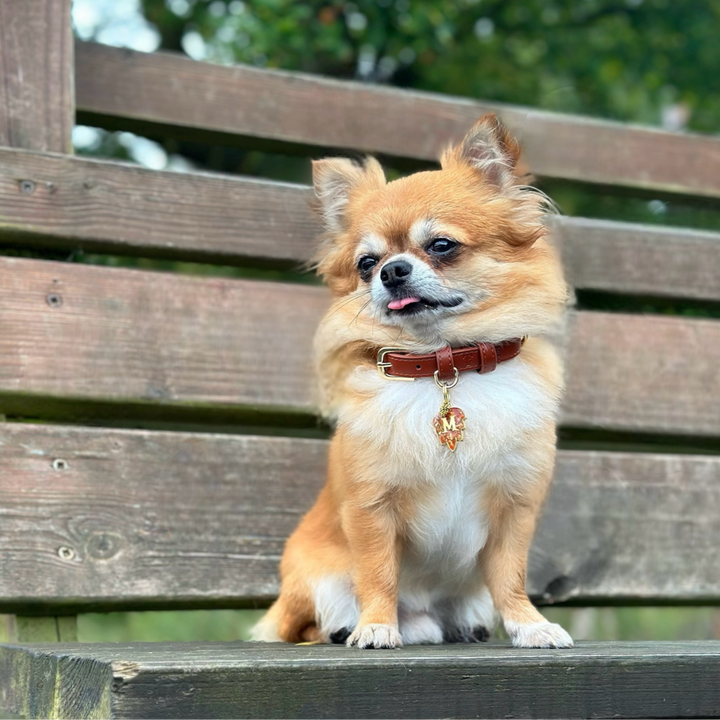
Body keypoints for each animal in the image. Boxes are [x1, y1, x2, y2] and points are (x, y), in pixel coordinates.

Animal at [253, 115, 572, 648]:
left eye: (441, 245)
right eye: (366, 264)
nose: (391, 270)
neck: (444, 364)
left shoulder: (515, 508)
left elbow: (511, 575)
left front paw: (529, 625)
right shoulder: (371, 509)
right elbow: (378, 572)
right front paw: (377, 626)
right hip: (312, 576)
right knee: (307, 625)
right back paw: (348, 626)